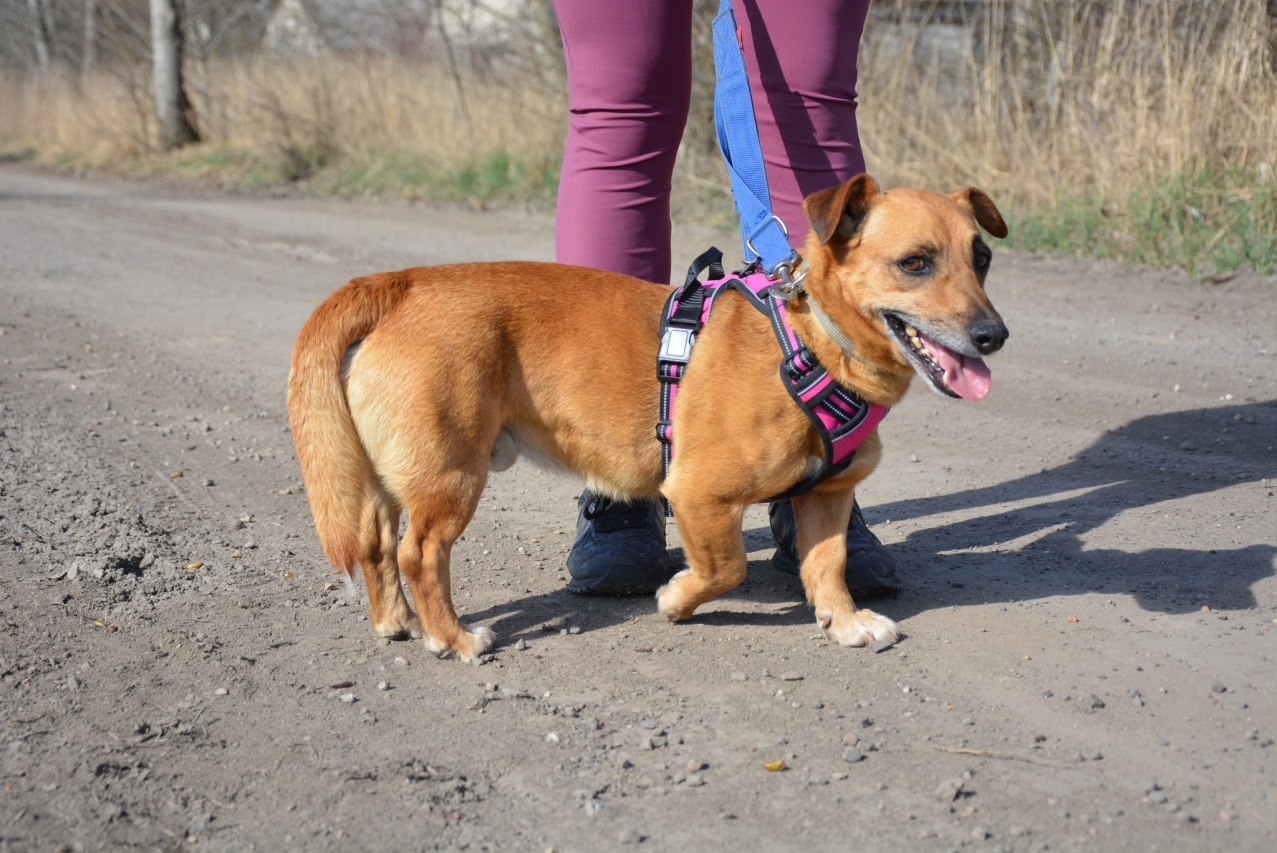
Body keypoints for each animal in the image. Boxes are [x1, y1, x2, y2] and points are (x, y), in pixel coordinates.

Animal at [287, 174, 1009, 661]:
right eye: (914, 263)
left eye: (982, 259)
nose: (993, 335)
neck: (807, 341)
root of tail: (399, 282)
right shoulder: (698, 495)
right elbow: (724, 568)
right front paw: (675, 599)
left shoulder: (827, 496)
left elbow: (825, 564)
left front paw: (846, 619)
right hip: (450, 475)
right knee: (419, 553)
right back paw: (453, 637)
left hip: (394, 475)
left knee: (376, 544)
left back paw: (396, 621)